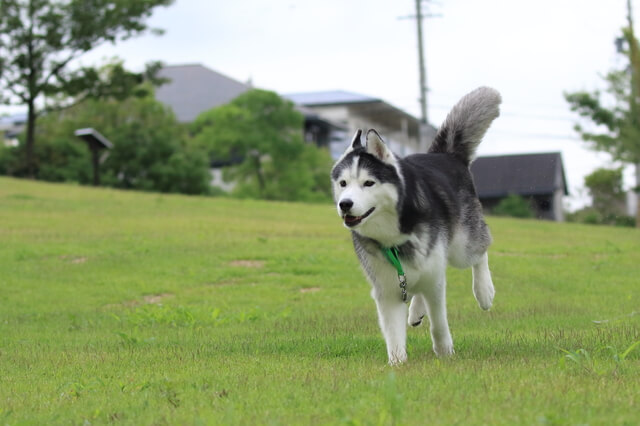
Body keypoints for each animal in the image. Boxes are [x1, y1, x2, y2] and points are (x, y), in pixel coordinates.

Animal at [332, 85, 502, 362]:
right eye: (343, 183)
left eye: (369, 183)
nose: (345, 204)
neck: (394, 232)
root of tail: (445, 155)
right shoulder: (387, 288)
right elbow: (393, 333)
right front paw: (397, 363)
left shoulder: (433, 276)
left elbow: (439, 322)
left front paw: (444, 351)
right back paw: (415, 311)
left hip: (461, 247)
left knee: (479, 252)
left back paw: (483, 290)